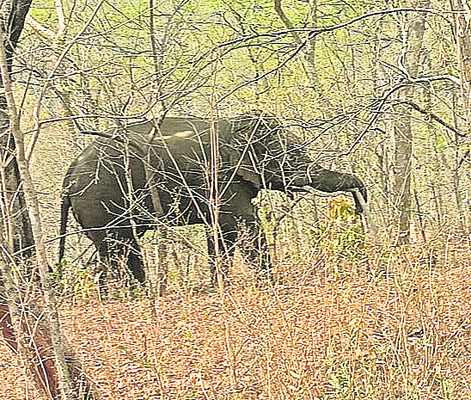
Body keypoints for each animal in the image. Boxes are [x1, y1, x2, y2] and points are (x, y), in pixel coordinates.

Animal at [58, 113, 368, 284]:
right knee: (120, 247)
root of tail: (69, 173)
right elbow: (246, 224)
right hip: (99, 202)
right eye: (288, 157)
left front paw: (220, 285)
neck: (229, 124)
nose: (360, 207)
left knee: (113, 251)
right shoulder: (218, 176)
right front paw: (273, 283)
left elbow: (220, 233)